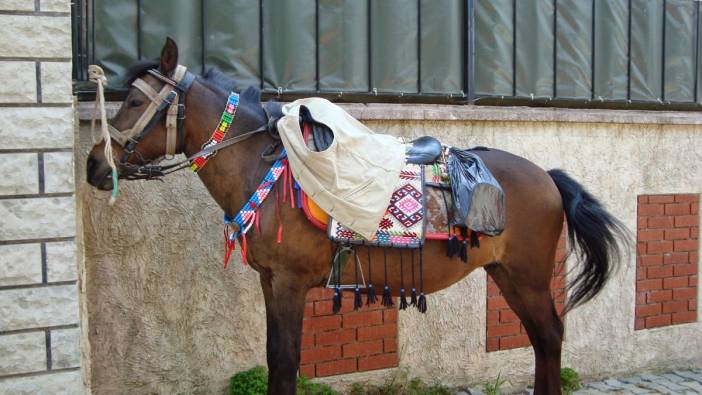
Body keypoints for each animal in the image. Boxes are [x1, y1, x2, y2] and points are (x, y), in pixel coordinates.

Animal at [85, 38, 628, 395]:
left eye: (135, 100)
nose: (95, 165)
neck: (267, 166)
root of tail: (547, 177)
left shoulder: (289, 282)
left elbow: (285, 360)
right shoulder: (270, 281)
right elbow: (275, 355)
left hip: (527, 276)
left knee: (550, 337)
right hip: (507, 274)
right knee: (543, 341)